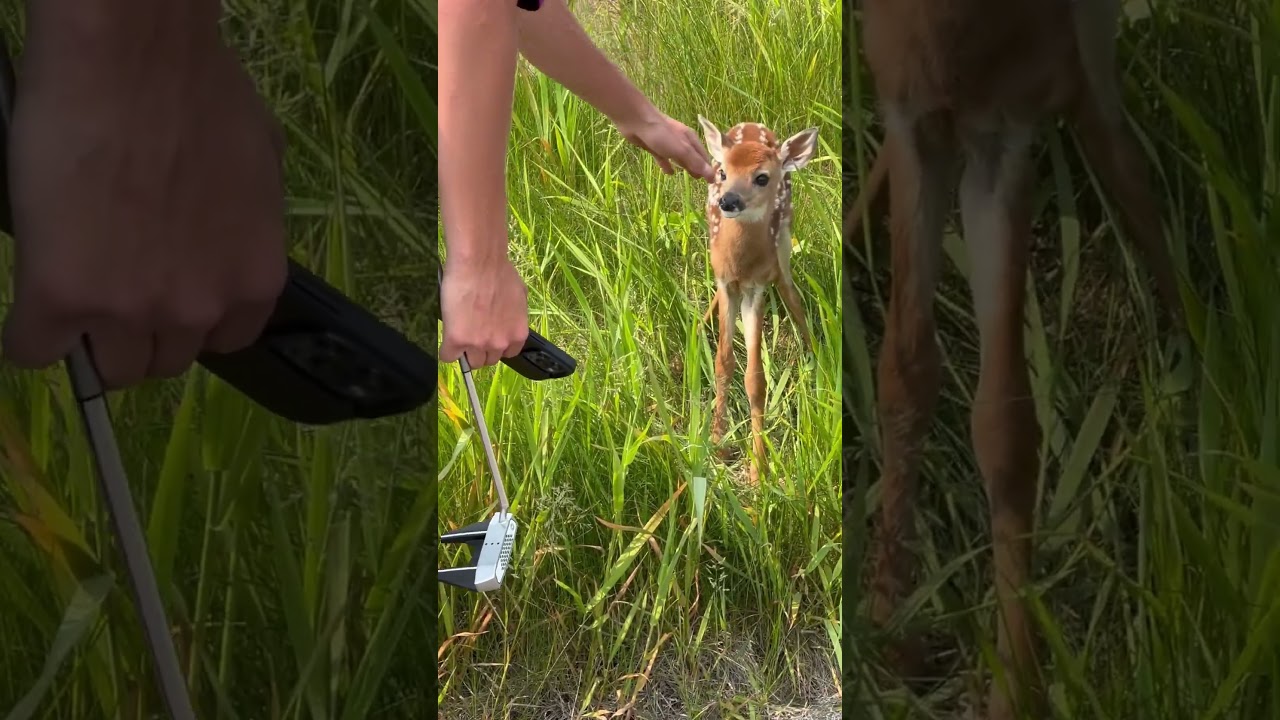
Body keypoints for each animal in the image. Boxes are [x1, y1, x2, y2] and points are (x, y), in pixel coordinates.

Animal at [695, 116, 819, 485]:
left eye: (762, 177)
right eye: (723, 172)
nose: (728, 200)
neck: (741, 262)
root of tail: (752, 123)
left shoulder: (755, 288)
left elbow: (756, 379)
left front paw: (757, 470)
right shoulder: (726, 282)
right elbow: (723, 364)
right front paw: (717, 441)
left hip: (785, 236)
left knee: (789, 288)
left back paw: (814, 351)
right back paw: (700, 324)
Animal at [846, 0, 1185, 718]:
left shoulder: (1004, 132)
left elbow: (1004, 422)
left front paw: (1014, 684)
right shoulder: (914, 113)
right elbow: (904, 372)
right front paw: (891, 635)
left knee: (1118, 145)